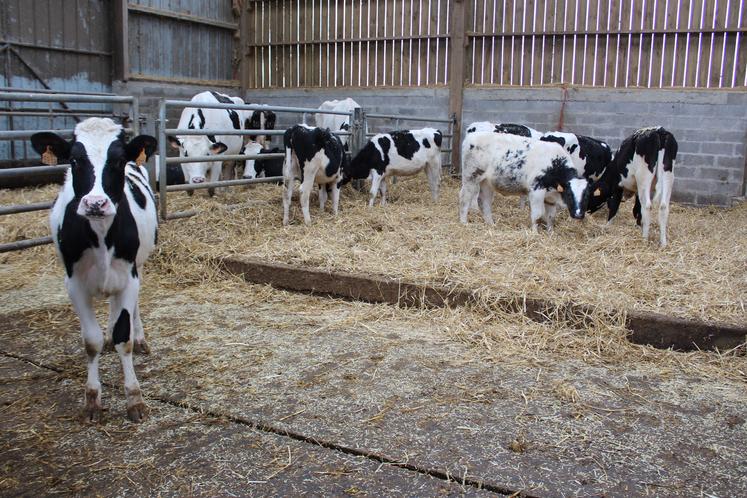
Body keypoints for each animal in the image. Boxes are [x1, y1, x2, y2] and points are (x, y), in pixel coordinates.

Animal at [31, 117, 158, 424]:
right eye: (75, 159)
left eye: (118, 160)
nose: (95, 203)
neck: (101, 235)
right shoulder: (74, 284)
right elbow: (91, 341)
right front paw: (92, 399)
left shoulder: (129, 277)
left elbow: (124, 337)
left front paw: (134, 399)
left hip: (136, 267)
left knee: (130, 311)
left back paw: (139, 338)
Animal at [462, 132, 592, 233]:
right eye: (569, 194)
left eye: (586, 196)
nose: (578, 214)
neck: (554, 165)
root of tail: (472, 136)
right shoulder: (536, 191)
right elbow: (537, 215)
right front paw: (535, 233)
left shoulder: (550, 198)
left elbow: (551, 217)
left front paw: (550, 233)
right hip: (470, 177)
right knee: (465, 198)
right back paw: (464, 222)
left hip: (487, 182)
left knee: (485, 202)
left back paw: (491, 224)